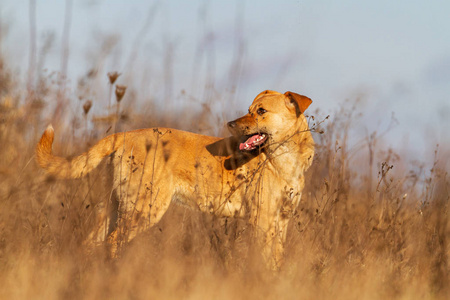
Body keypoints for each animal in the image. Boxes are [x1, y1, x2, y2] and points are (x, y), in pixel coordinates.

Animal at [35, 89, 312, 270]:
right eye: (249, 110)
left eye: (261, 111)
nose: (231, 124)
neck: (284, 160)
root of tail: (125, 134)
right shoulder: (262, 220)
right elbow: (266, 261)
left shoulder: (281, 221)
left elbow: (276, 259)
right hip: (145, 209)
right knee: (113, 243)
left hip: (114, 208)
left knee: (91, 243)